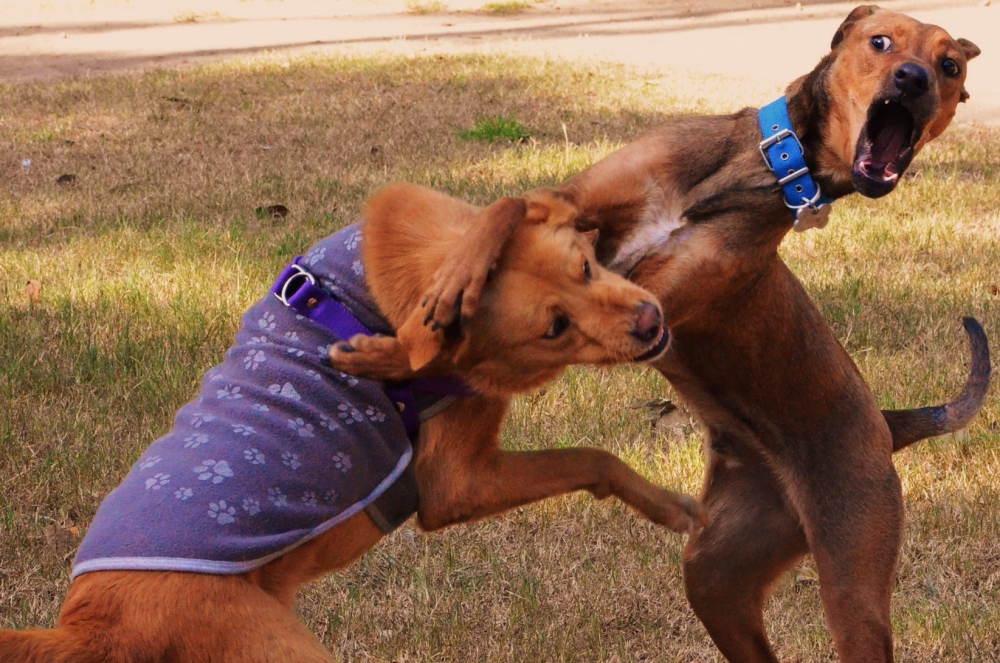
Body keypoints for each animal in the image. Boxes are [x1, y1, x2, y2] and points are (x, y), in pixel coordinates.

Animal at [0, 183, 704, 663]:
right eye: (554, 326)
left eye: (586, 267)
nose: (651, 321)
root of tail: (85, 628)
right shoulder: (456, 484)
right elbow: (592, 457)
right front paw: (675, 507)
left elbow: (511, 205)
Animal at [414, 6, 984, 663]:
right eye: (881, 41)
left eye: (950, 66)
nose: (915, 79)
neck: (764, 170)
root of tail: (889, 425)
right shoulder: (569, 202)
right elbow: (506, 207)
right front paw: (456, 275)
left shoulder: (651, 303)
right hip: (716, 571)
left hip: (853, 577)